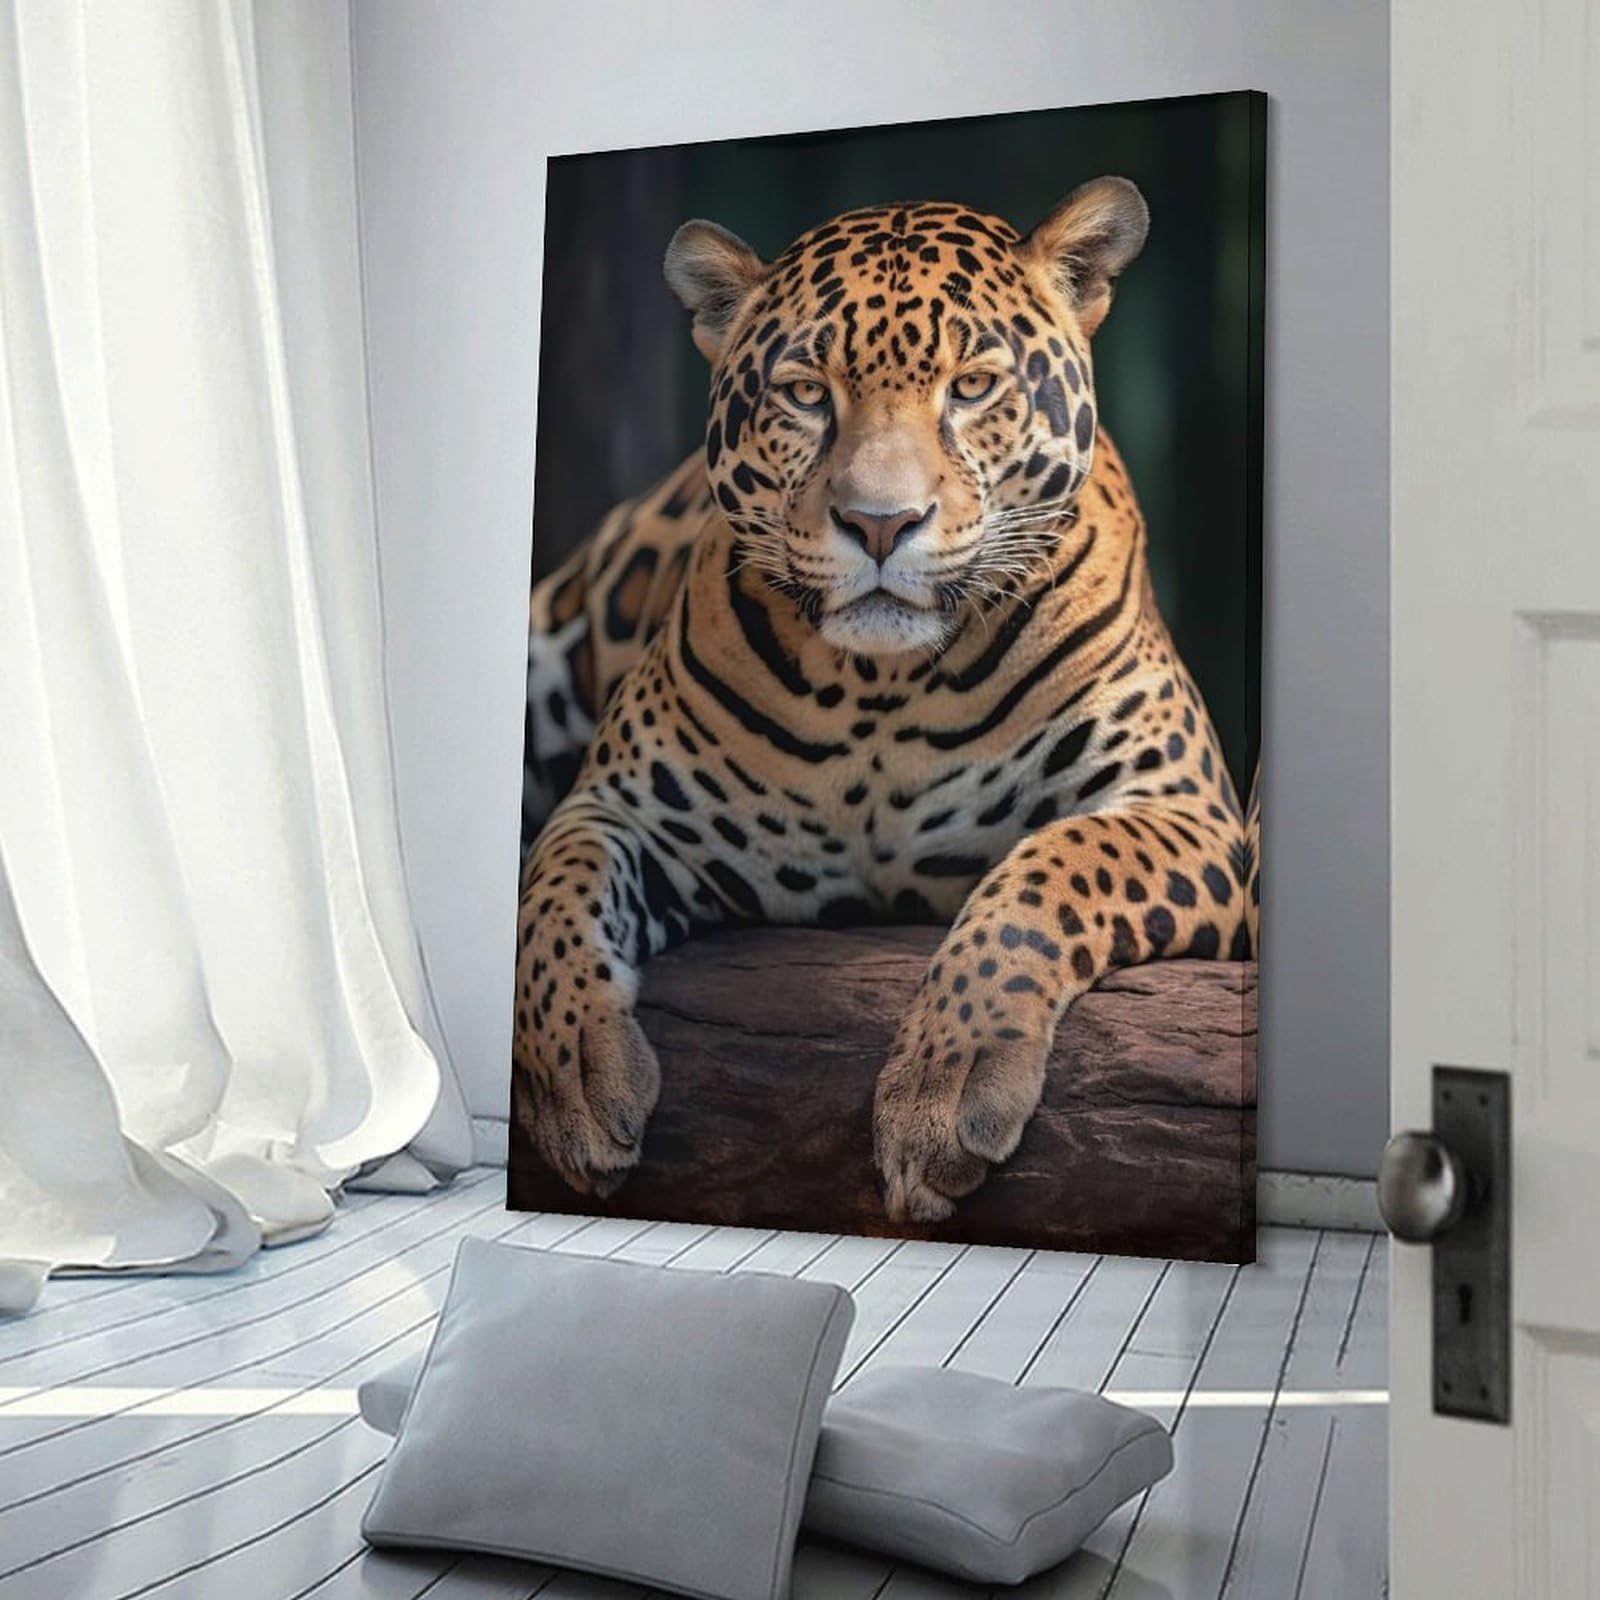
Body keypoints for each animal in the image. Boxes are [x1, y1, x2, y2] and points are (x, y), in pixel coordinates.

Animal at [515, 177, 1259, 1223]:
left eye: (973, 387)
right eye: (805, 394)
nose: (879, 523)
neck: (879, 691)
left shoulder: (1190, 812)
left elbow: (1047, 870)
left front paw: (947, 1084)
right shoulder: (623, 812)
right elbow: (551, 900)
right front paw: (572, 1074)